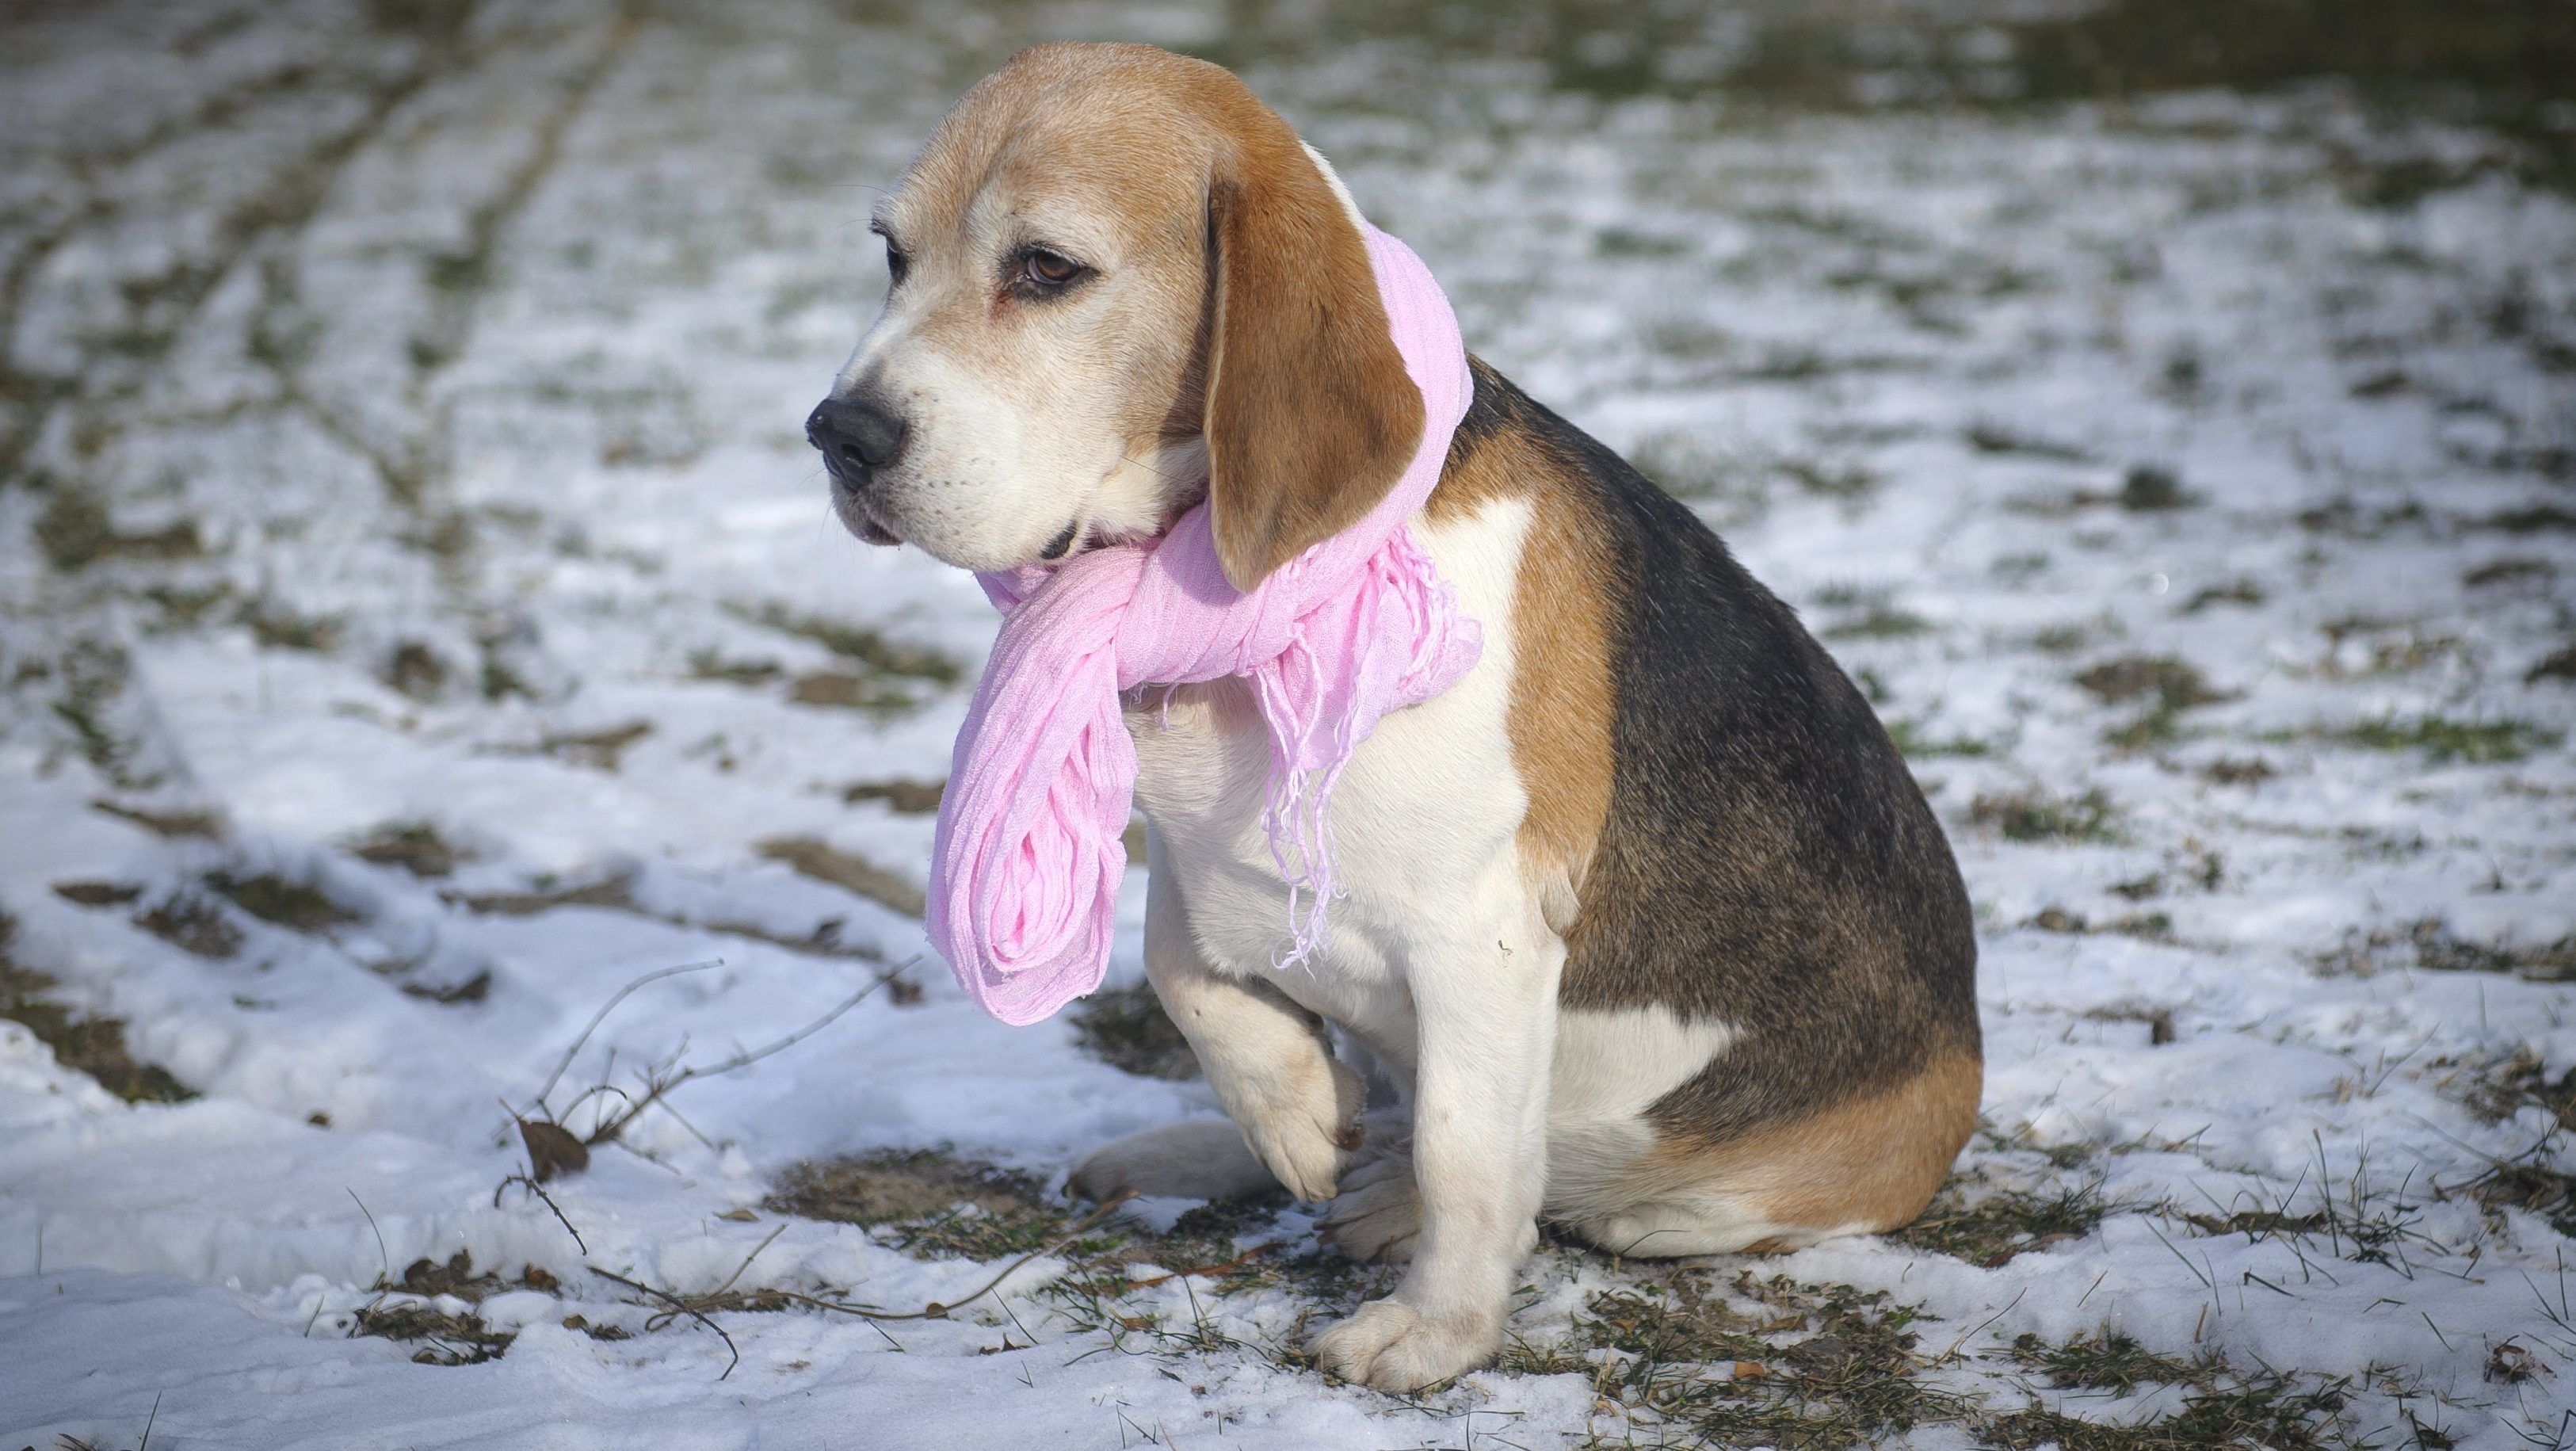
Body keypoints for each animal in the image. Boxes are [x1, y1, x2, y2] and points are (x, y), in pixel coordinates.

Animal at [814, 40, 1978, 1392]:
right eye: (891, 254)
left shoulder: (1481, 931)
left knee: (1593, 1184)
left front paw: (1435, 1328)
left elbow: (1461, 1149)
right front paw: (1293, 1112)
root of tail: (1963, 1051)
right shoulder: (1197, 851)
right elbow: (1183, 971)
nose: (836, 434)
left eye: (1046, 268)